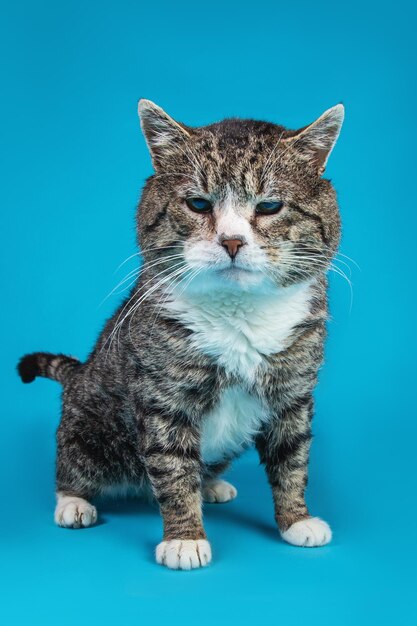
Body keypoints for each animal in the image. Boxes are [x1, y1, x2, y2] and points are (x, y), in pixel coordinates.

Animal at [18, 98, 344, 572]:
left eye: (269, 206)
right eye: (198, 203)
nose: (231, 241)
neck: (239, 313)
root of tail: (79, 375)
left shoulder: (293, 393)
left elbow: (293, 458)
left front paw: (296, 519)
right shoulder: (163, 399)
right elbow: (173, 470)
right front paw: (185, 538)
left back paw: (212, 485)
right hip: (89, 431)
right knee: (71, 466)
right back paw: (74, 503)